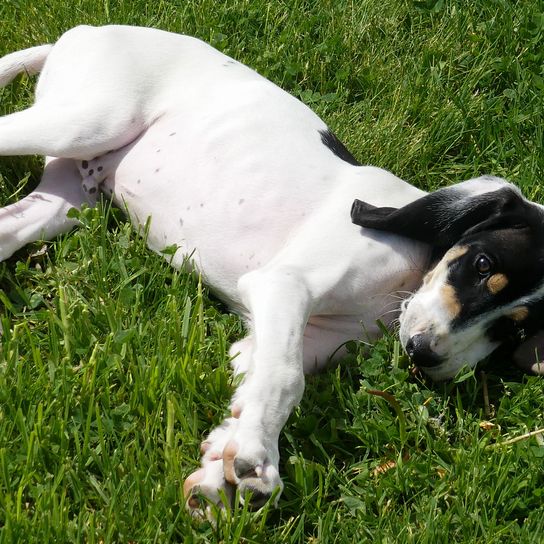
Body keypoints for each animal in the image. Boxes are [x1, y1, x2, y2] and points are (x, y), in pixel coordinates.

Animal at [0, 26, 540, 520]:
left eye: (513, 332)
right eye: (482, 265)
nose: (424, 355)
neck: (405, 280)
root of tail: (84, 30)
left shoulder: (272, 340)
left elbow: (256, 379)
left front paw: (222, 472)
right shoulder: (283, 286)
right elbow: (285, 378)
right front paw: (257, 458)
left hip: (69, 201)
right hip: (86, 122)